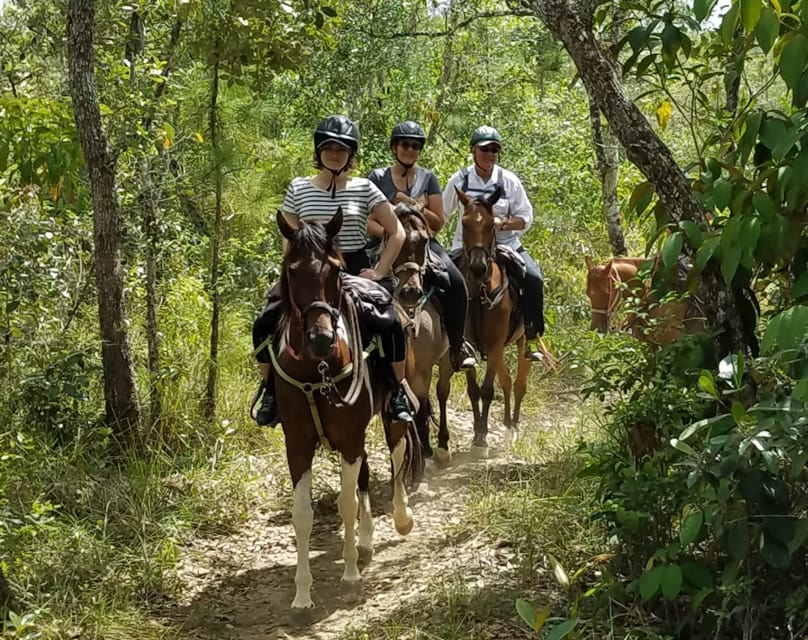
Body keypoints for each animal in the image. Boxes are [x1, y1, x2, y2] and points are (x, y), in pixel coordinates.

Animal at [274, 211, 420, 616]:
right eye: (292, 270)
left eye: (336, 270)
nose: (321, 339)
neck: (317, 371)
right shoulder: (299, 446)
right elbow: (302, 515)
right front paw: (302, 595)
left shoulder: (350, 438)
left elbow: (347, 503)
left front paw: (351, 577)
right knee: (368, 472)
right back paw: (367, 541)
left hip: (390, 417)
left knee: (397, 455)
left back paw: (402, 519)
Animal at [458, 185, 532, 456]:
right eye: (464, 223)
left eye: (492, 224)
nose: (478, 267)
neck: (480, 293)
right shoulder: (468, 345)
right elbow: (473, 390)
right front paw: (477, 432)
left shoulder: (495, 343)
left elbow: (487, 389)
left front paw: (482, 436)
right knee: (508, 382)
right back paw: (508, 422)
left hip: (522, 341)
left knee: (519, 383)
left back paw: (515, 425)